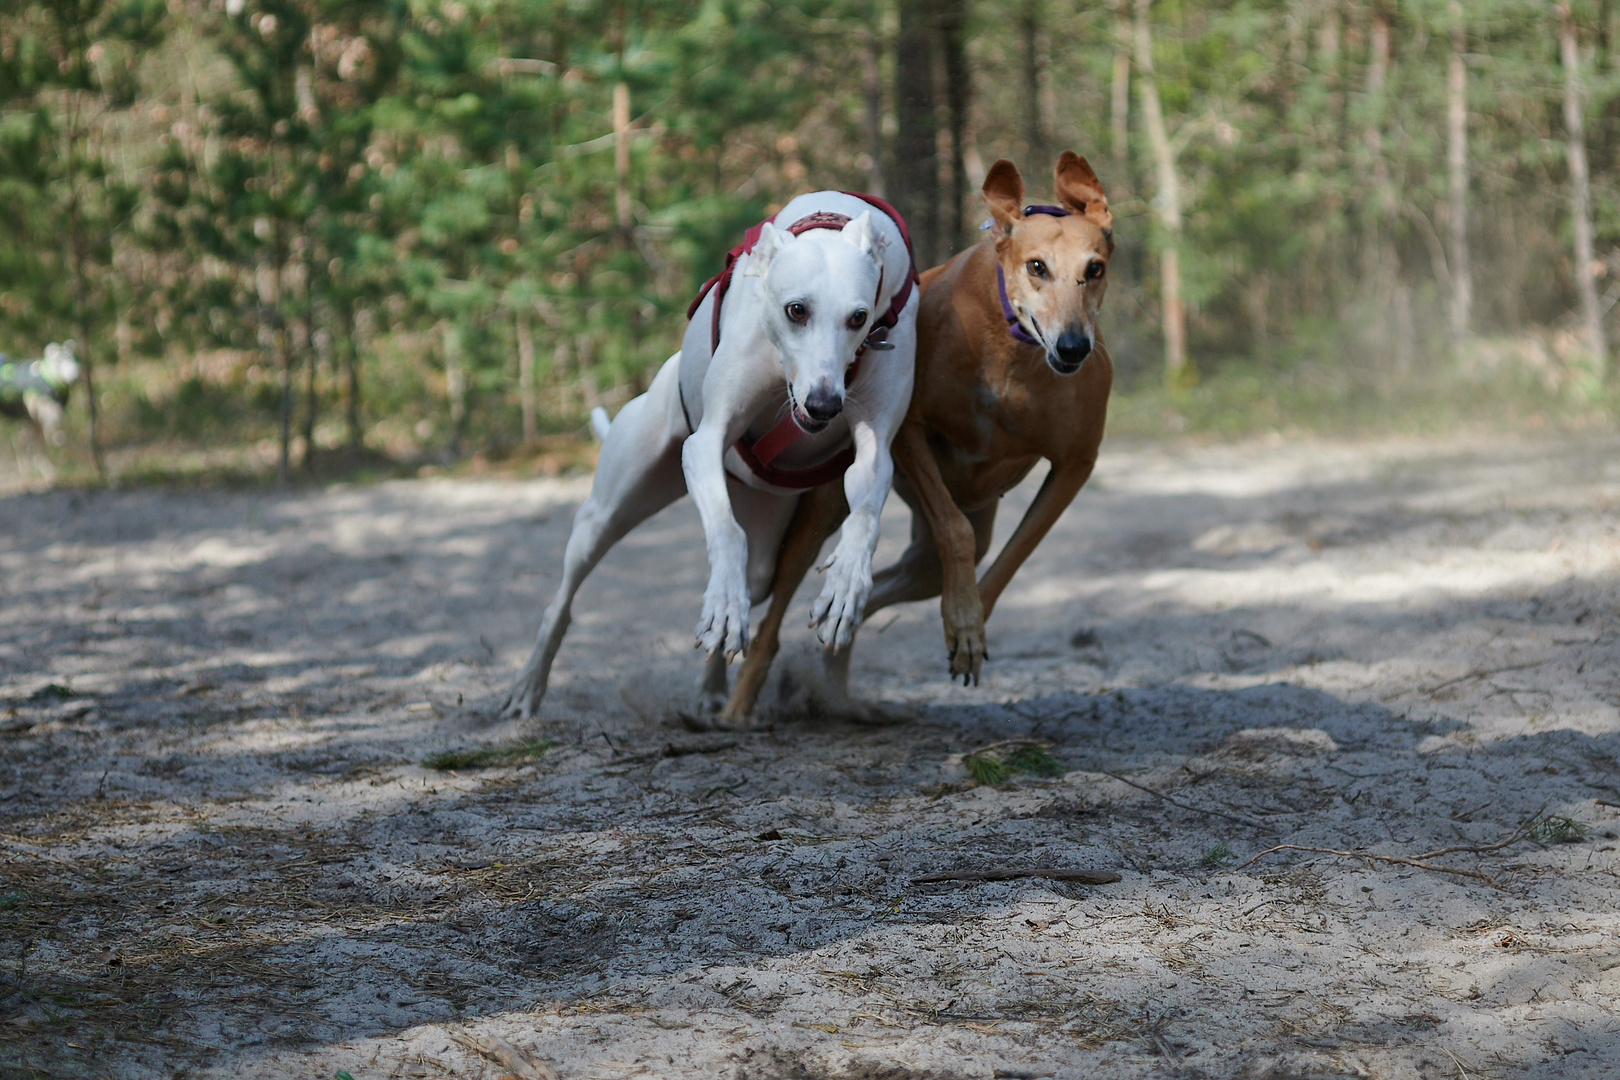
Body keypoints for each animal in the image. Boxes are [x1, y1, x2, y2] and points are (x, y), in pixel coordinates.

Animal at [498, 191, 920, 722]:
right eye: (796, 310)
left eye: (859, 318)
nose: (825, 404)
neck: (830, 219)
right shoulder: (706, 442)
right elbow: (725, 531)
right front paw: (722, 604)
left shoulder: (875, 449)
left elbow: (864, 516)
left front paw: (845, 584)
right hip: (607, 513)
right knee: (564, 598)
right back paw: (528, 685)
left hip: (765, 527)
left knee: (754, 577)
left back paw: (713, 687)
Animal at [722, 152, 1114, 722]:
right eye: (1037, 266)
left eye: (1096, 269)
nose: (1072, 346)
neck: (1013, 353)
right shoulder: (910, 432)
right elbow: (955, 529)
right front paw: (965, 622)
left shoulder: (1075, 464)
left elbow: (1013, 555)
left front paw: (967, 625)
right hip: (824, 509)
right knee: (777, 609)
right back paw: (737, 702)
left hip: (928, 557)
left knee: (885, 588)